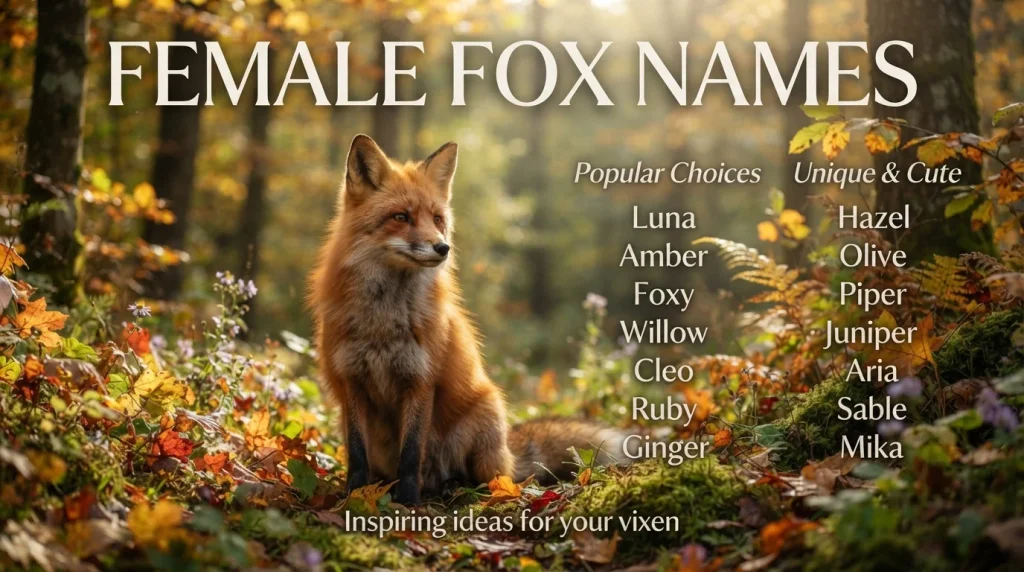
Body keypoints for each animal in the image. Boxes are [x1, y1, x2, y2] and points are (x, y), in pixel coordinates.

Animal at [308, 134, 629, 505]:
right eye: (400, 216)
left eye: (437, 219)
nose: (442, 248)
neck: (384, 322)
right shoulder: (352, 382)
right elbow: (358, 455)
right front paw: (356, 496)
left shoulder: (421, 380)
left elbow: (411, 453)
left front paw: (408, 501)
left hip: (485, 417)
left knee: (491, 478)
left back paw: (461, 488)